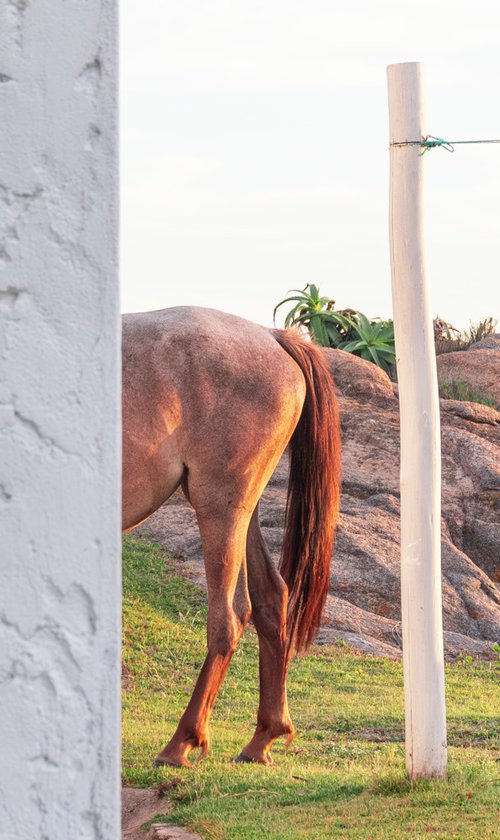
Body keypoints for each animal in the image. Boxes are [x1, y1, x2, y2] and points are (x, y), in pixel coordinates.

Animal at [122, 308, 340, 768]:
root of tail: (272, 337)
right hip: (243, 510)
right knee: (271, 598)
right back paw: (262, 738)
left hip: (220, 508)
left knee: (229, 617)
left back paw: (181, 742)